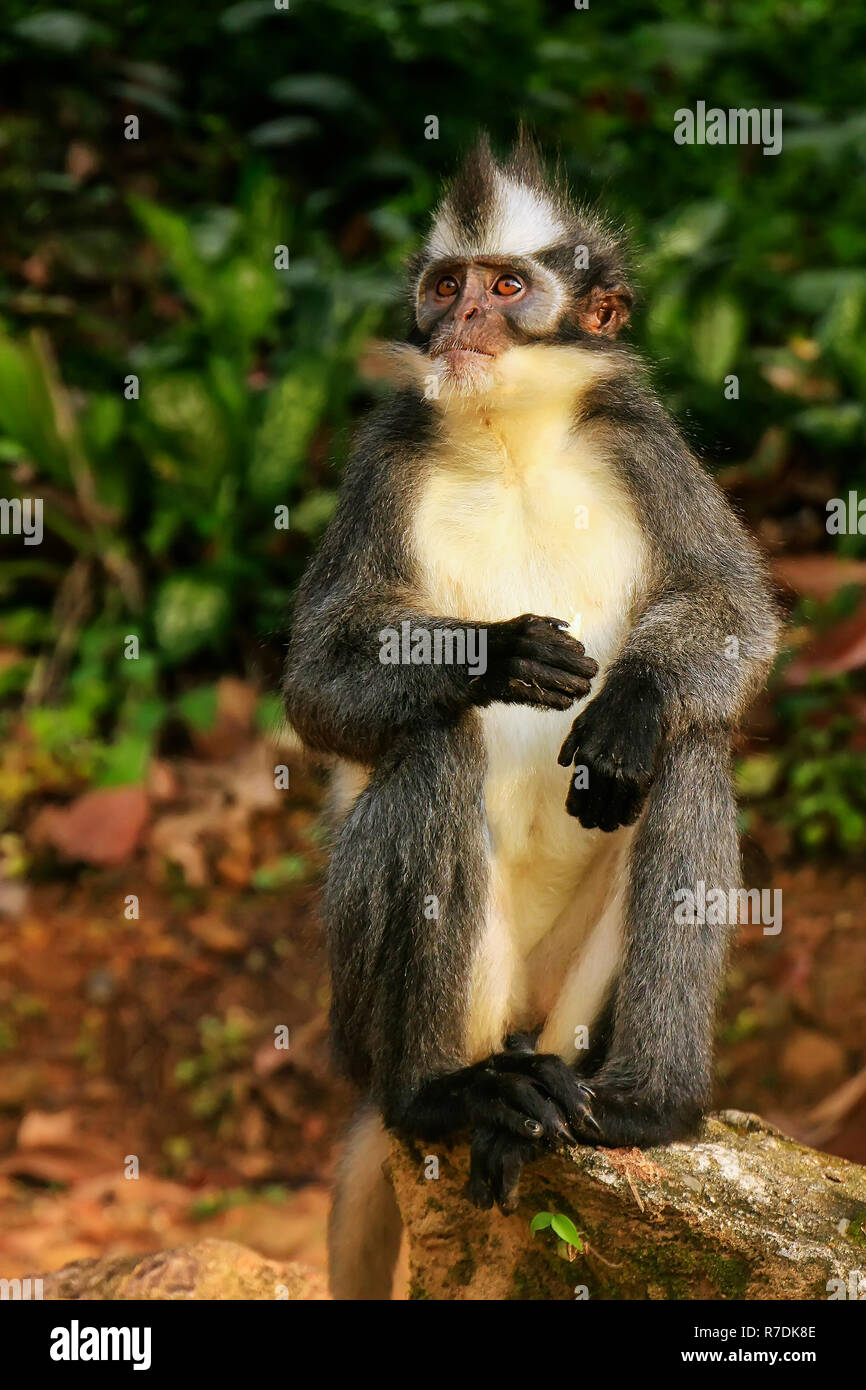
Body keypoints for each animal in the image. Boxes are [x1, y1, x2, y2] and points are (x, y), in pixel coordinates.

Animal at [284, 135, 778, 1295]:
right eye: (445, 287)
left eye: (508, 290)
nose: (463, 322)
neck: (508, 434)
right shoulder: (384, 456)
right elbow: (316, 691)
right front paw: (495, 654)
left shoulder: (640, 442)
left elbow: (734, 612)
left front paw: (629, 700)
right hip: (370, 1012)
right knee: (435, 748)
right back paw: (446, 1096)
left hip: (565, 1010)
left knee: (688, 747)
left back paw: (641, 1102)